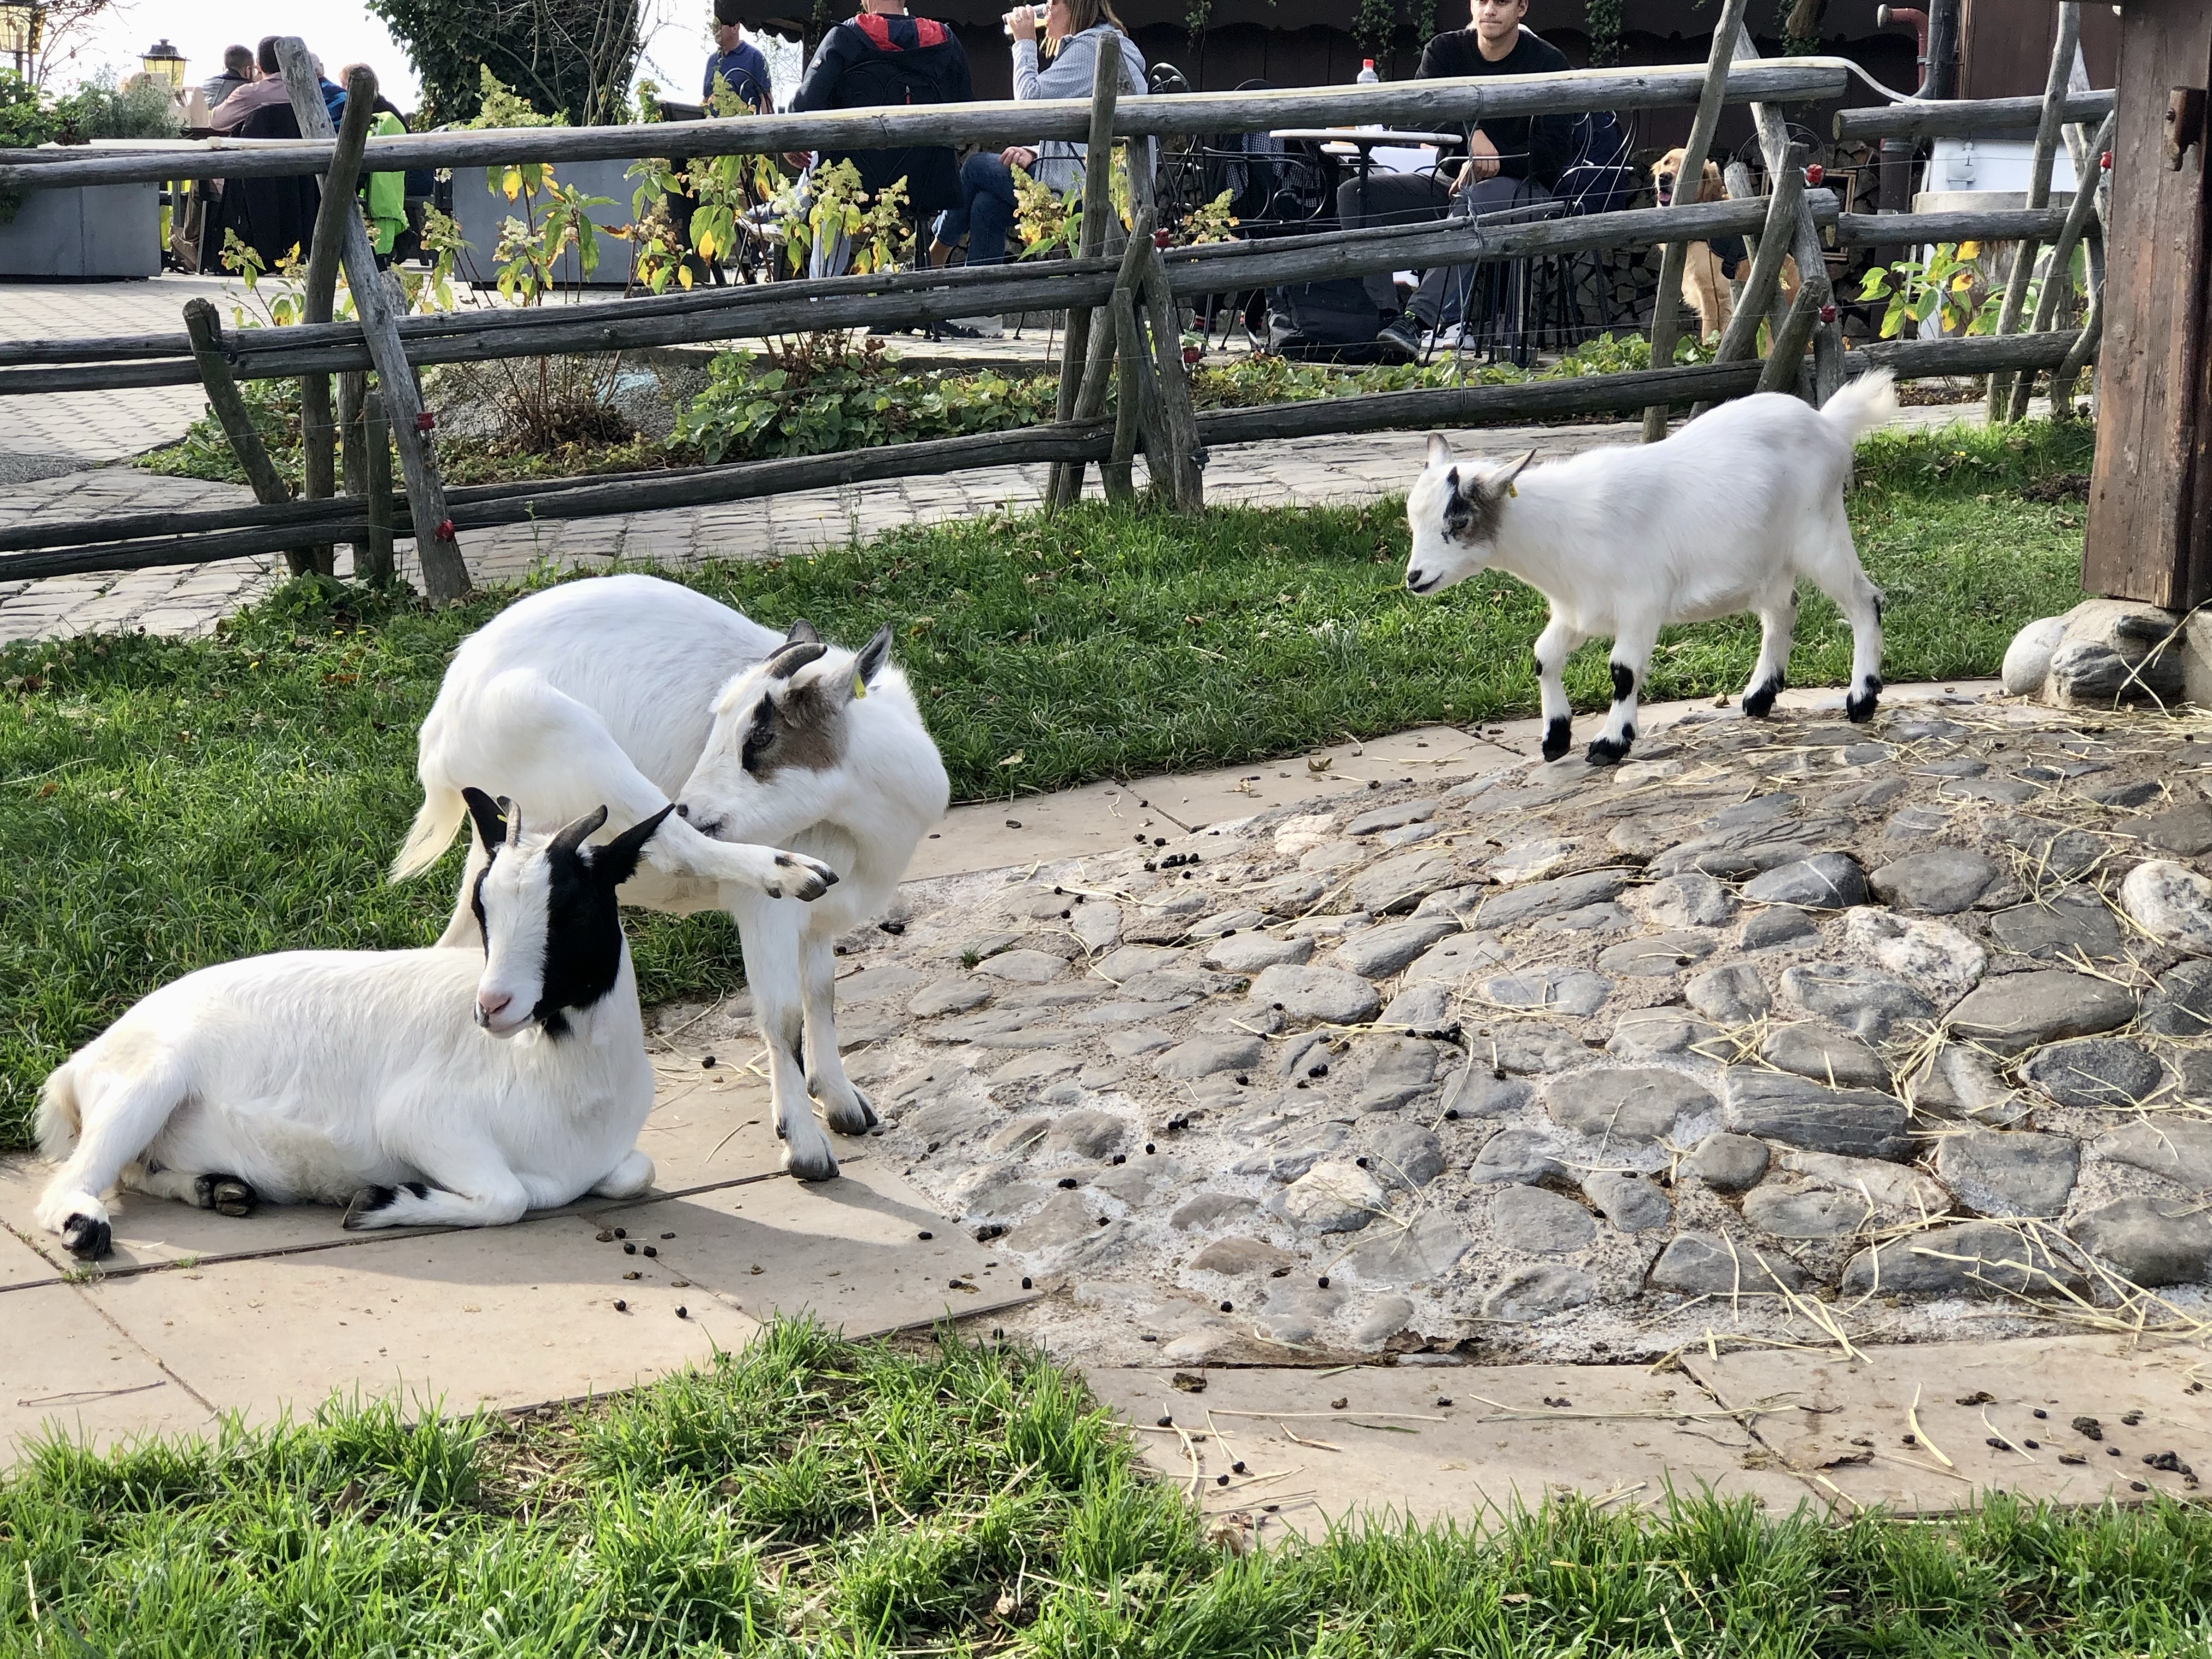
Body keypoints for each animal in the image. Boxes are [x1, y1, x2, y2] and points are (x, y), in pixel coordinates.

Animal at [36, 793, 677, 1260]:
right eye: (482, 906)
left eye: (569, 909)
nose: (492, 1005)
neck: (568, 1080)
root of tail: (79, 1066)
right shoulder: (421, 1118)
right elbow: (509, 1198)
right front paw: (376, 1201)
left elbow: (635, 1173)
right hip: (146, 1085)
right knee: (72, 1183)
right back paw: (86, 1227)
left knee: (135, 1171)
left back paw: (217, 1188)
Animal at [393, 574, 951, 1185]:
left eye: (761, 736)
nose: (690, 807)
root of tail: (442, 725)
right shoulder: (768, 916)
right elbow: (781, 1017)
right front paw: (804, 1148)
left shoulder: (820, 924)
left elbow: (823, 994)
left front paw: (843, 1102)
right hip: (570, 741)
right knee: (676, 844)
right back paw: (785, 869)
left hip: (506, 852)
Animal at [1404, 370, 1894, 766]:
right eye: (1413, 519)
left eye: (1459, 521)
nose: (1414, 578)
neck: (1561, 525)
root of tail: (1829, 424)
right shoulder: (1576, 612)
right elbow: (1544, 657)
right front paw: (1555, 739)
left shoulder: (1640, 604)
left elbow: (1622, 670)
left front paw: (1609, 744)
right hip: (1767, 561)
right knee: (1782, 611)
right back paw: (1759, 697)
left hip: (1820, 534)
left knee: (1864, 601)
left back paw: (1861, 699)